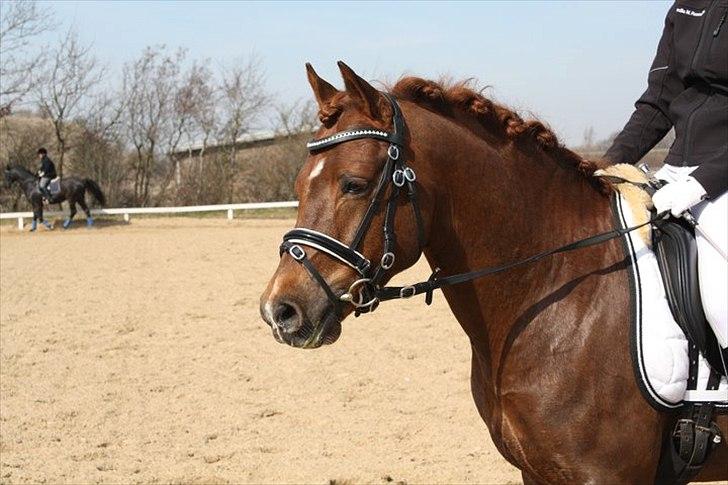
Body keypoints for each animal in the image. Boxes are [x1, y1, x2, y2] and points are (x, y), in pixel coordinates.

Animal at [259, 62, 726, 483]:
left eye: (354, 184)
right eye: (299, 185)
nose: (279, 311)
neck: (554, 283)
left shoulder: (609, 475)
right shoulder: (536, 471)